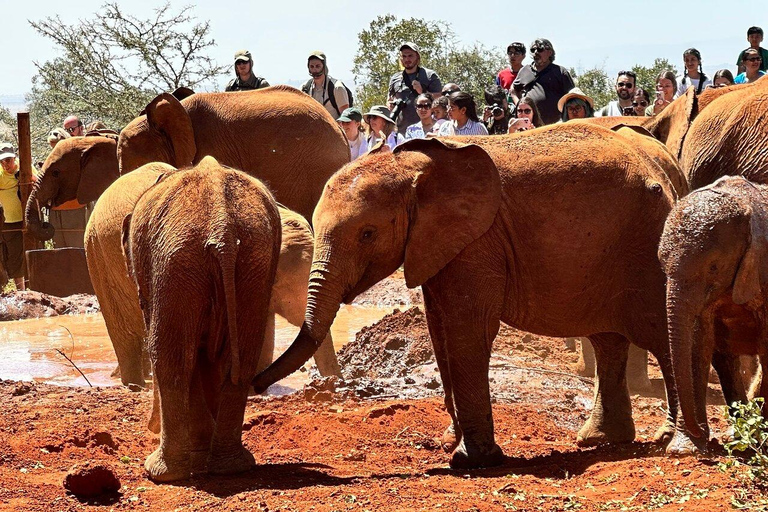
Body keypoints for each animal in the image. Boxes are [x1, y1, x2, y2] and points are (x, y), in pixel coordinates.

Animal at [123, 155, 282, 480]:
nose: (149, 427)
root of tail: (222, 228)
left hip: (176, 261)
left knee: (171, 359)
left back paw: (162, 473)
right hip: (251, 261)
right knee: (241, 358)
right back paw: (230, 467)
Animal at [252, 127, 688, 468]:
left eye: (367, 234)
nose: (255, 383)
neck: (409, 167)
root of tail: (662, 172)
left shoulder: (478, 241)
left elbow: (467, 328)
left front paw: (471, 460)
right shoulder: (437, 244)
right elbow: (438, 328)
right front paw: (450, 442)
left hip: (645, 245)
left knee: (659, 331)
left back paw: (669, 441)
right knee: (607, 339)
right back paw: (599, 440)